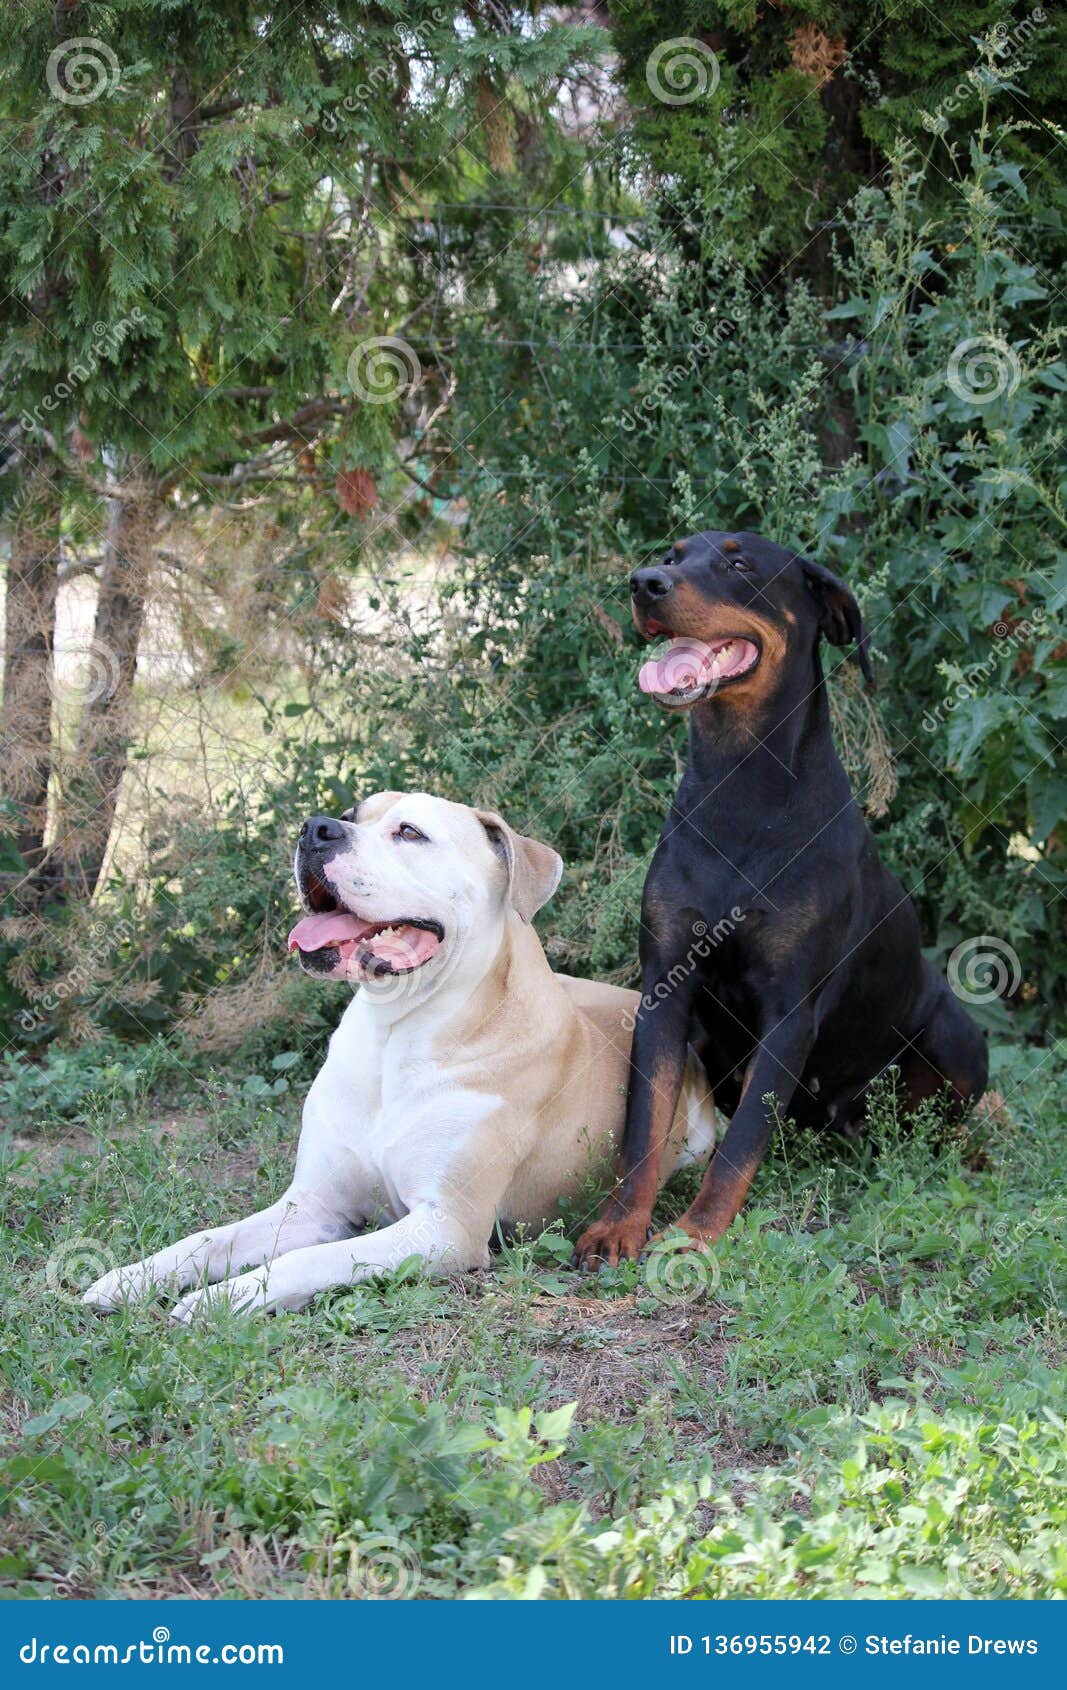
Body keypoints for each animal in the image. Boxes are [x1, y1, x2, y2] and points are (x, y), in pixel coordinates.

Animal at [83, 790, 716, 1318]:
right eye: (351, 815)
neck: (396, 1034)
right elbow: (210, 1238)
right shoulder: (313, 1205)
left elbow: (308, 1259)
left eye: (410, 833)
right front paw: (129, 1278)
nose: (315, 828)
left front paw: (223, 1299)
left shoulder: (443, 1227)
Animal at [581, 530, 987, 1270]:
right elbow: (643, 1124)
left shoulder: (790, 1008)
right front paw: (619, 1226)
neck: (741, 784)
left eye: (739, 563)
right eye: (672, 553)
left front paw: (695, 1233)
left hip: (955, 1036)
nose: (644, 582)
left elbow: (740, 1141)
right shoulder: (665, 986)